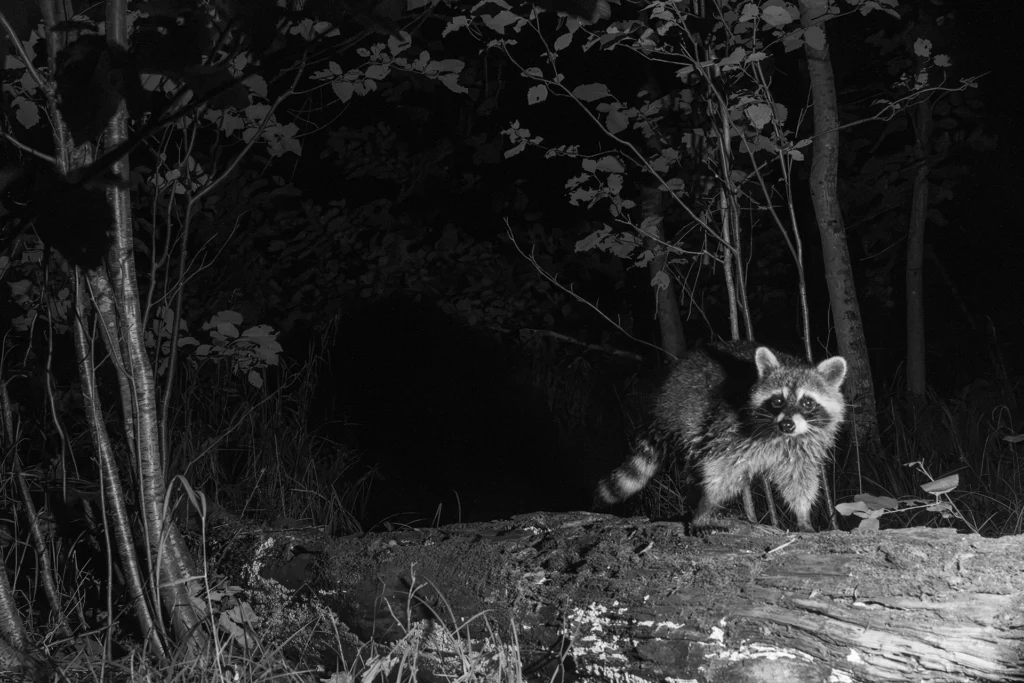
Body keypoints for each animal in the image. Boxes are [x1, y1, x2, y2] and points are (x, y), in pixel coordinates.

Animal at [596, 341, 848, 532]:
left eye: (807, 402)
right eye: (777, 400)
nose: (787, 424)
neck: (780, 435)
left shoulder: (802, 447)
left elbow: (799, 478)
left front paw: (803, 516)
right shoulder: (731, 430)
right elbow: (721, 468)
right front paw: (705, 507)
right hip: (687, 413)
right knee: (695, 463)